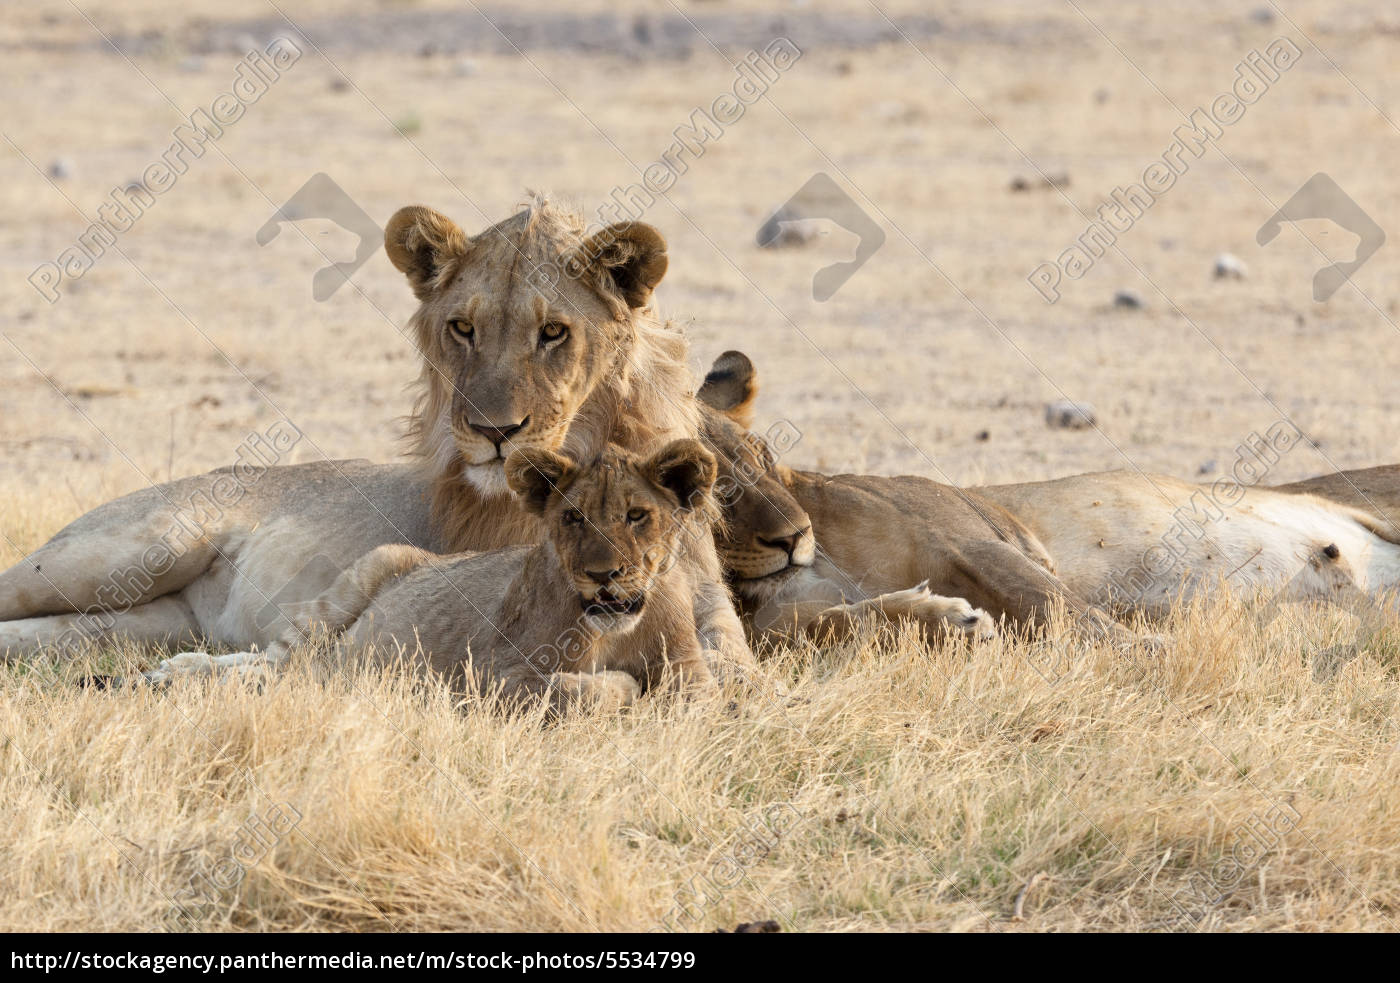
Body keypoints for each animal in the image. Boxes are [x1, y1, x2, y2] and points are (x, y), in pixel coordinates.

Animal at [146, 439, 722, 716]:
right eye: (572, 517)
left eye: (637, 515)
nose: (603, 574)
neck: (617, 629)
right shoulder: (489, 675)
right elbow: (585, 691)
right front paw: (619, 685)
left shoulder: (692, 675)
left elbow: (687, 703)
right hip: (376, 565)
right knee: (278, 663)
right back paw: (176, 674)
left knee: (281, 668)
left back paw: (172, 672)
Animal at [705, 352, 1400, 638]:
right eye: (711, 490)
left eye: (765, 458)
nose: (793, 537)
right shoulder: (781, 632)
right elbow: (842, 626)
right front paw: (947, 621)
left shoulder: (977, 539)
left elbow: (1068, 613)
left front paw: (1153, 652)